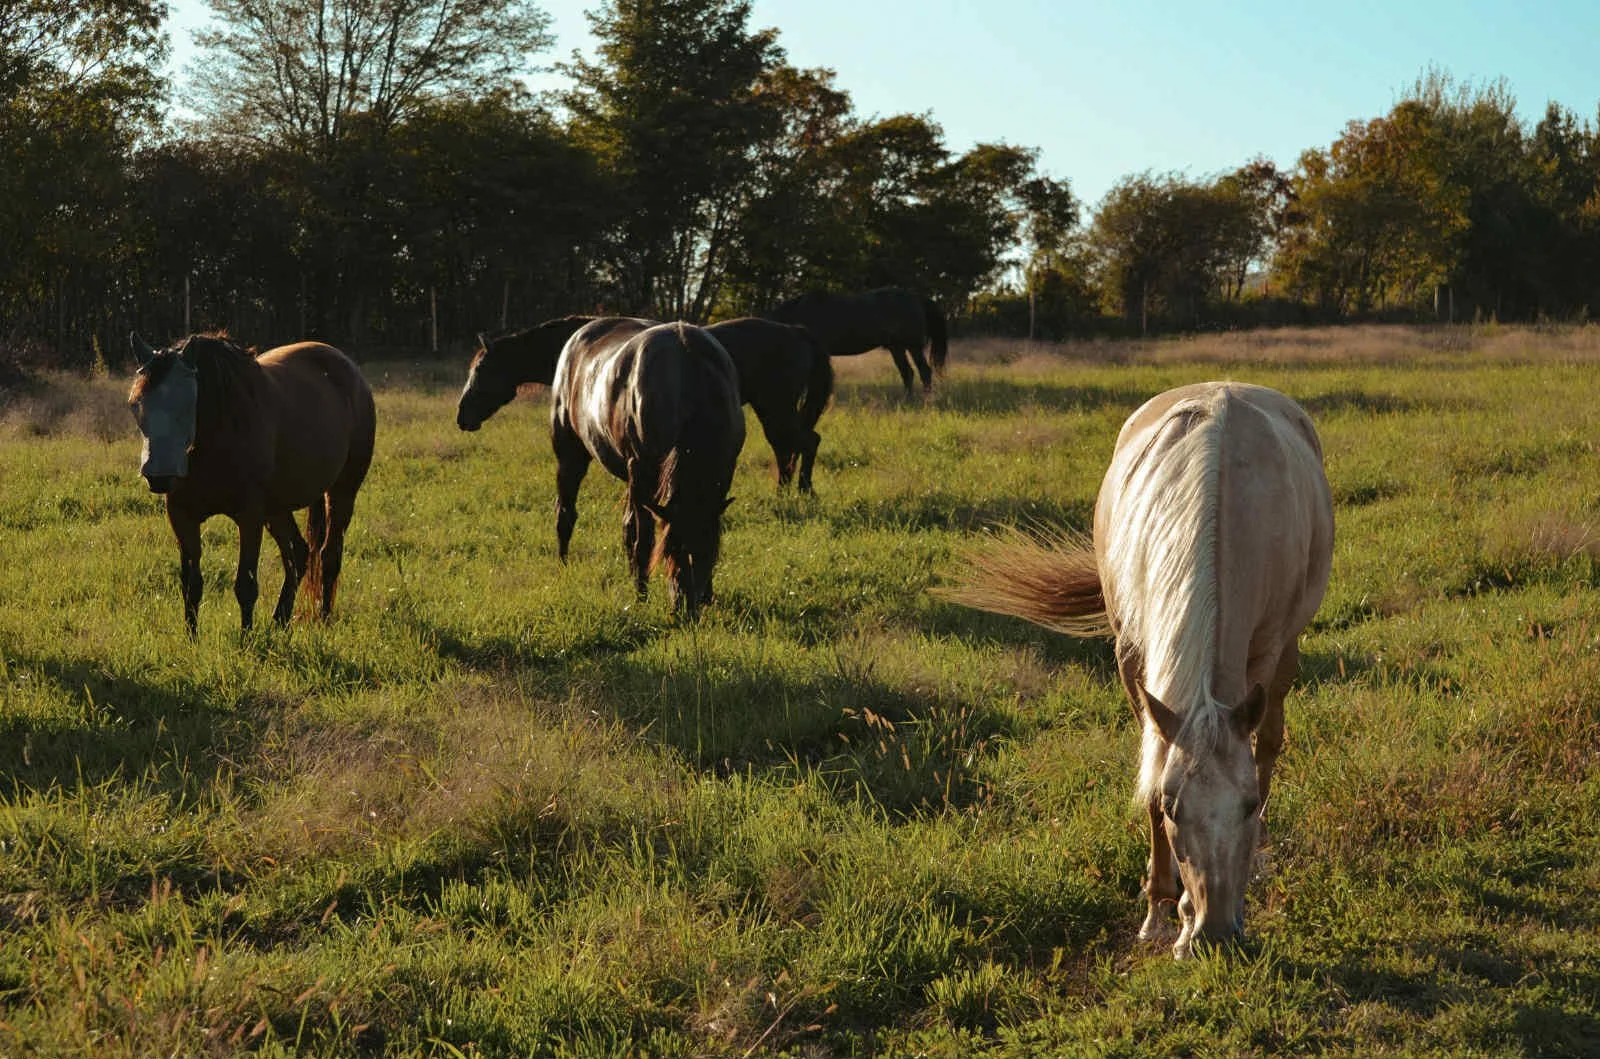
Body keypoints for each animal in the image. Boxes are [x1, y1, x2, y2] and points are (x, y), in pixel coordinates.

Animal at [127, 332, 376, 637]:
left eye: (187, 404)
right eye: (135, 403)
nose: (159, 475)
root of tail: (350, 371)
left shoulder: (250, 517)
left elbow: (245, 586)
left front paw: (247, 639)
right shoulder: (182, 516)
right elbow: (191, 585)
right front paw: (192, 638)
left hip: (342, 492)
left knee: (329, 555)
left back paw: (323, 619)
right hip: (277, 509)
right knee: (299, 553)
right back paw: (280, 621)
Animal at [704, 317, 833, 492]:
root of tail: (796, 331)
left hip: (778, 409)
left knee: (806, 442)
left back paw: (802, 490)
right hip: (772, 411)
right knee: (785, 448)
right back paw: (784, 493)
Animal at [764, 286, 946, 397]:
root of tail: (917, 298)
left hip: (913, 346)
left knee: (924, 371)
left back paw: (926, 400)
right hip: (897, 347)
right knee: (907, 373)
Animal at [943, 382, 1333, 958]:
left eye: (1245, 806)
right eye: (1173, 808)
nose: (1215, 935)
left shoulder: (1262, 658)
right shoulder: (1133, 661)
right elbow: (1151, 768)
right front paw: (1159, 911)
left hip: (1283, 658)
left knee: (1269, 743)